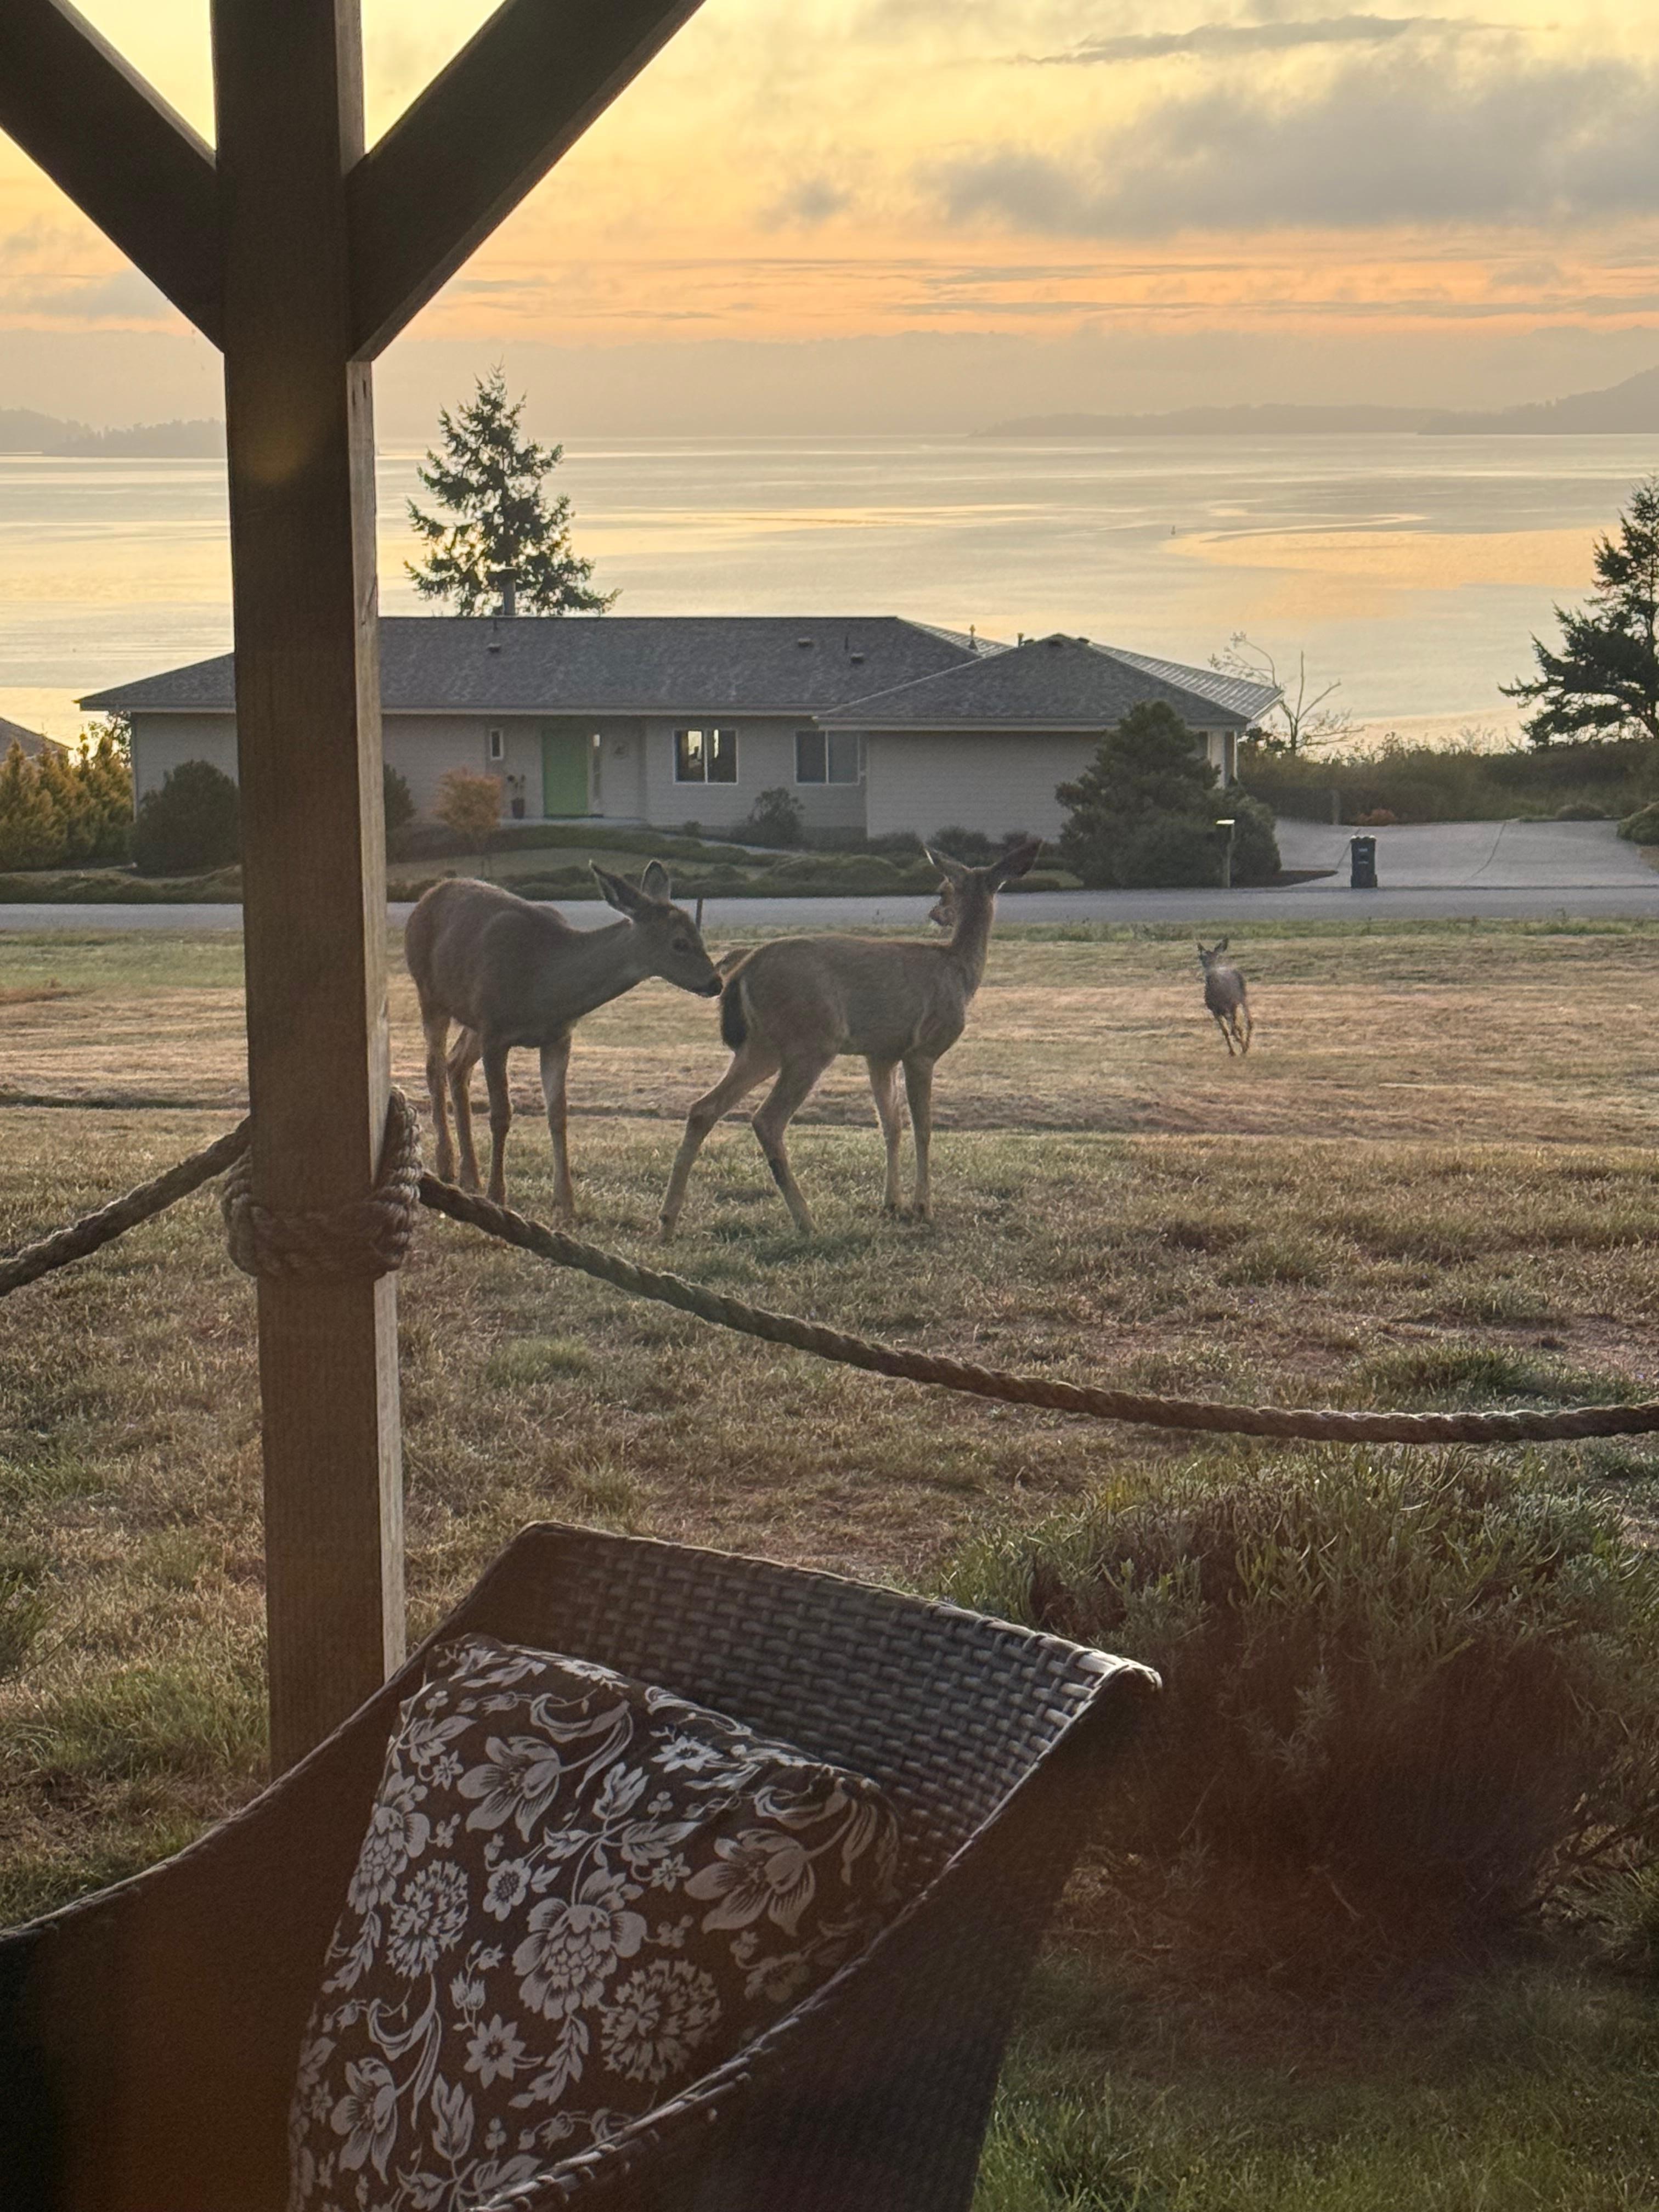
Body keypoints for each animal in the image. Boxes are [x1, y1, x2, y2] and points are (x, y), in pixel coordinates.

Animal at [406, 865, 721, 1217]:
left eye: (699, 936)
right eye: (680, 943)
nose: (716, 982)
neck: (546, 984)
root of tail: (428, 896)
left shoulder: (557, 1037)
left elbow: (558, 1115)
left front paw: (565, 1201)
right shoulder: (495, 1031)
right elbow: (501, 1114)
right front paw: (497, 1195)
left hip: (471, 1018)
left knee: (456, 1065)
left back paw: (469, 1176)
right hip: (430, 993)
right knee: (434, 1068)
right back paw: (447, 1165)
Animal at [660, 838, 1042, 1239]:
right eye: (944, 889)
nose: (936, 913)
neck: (960, 972)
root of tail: (742, 970)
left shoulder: (881, 1053)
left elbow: (891, 1125)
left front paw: (892, 1204)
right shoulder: (922, 1049)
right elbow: (923, 1128)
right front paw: (923, 1207)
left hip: (762, 1046)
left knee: (703, 1109)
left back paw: (668, 1221)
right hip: (811, 1041)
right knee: (766, 1119)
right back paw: (806, 1220)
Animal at [1197, 938, 1252, 1056]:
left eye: (1216, 958)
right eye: (1202, 958)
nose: (1210, 972)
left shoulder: (1231, 1005)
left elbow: (1235, 1028)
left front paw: (1242, 1045)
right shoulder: (1215, 1010)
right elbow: (1225, 1031)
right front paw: (1232, 1051)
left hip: (1242, 998)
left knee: (1248, 1021)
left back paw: (1246, 1045)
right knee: (1237, 1025)